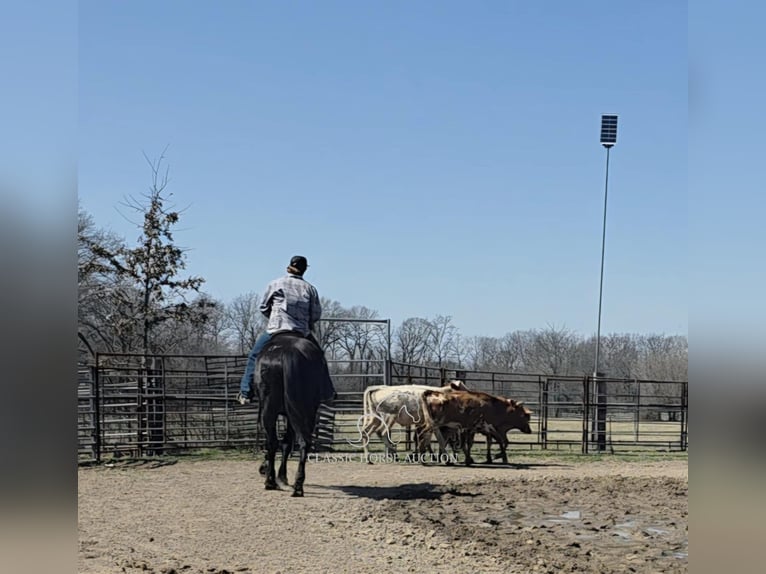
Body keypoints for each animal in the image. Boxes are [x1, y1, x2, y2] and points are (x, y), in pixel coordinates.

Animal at [255, 336, 336, 498]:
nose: (261, 469)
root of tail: (287, 351)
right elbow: (286, 443)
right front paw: (281, 476)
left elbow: (282, 443)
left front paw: (278, 477)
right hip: (302, 412)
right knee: (302, 442)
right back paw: (296, 485)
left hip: (277, 411)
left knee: (275, 442)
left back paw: (272, 482)